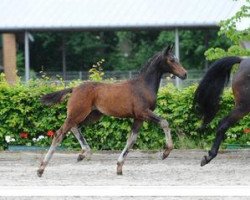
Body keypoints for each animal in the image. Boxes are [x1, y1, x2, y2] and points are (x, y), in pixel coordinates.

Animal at [36, 45, 186, 177]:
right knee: (59, 133)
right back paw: (41, 169)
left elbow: (131, 139)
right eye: (171, 60)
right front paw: (165, 152)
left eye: (177, 59)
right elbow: (164, 122)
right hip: (78, 113)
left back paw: (84, 153)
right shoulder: (143, 112)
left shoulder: (138, 118)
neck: (143, 86)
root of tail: (74, 88)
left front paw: (119, 167)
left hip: (91, 116)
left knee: (74, 128)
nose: (184, 74)